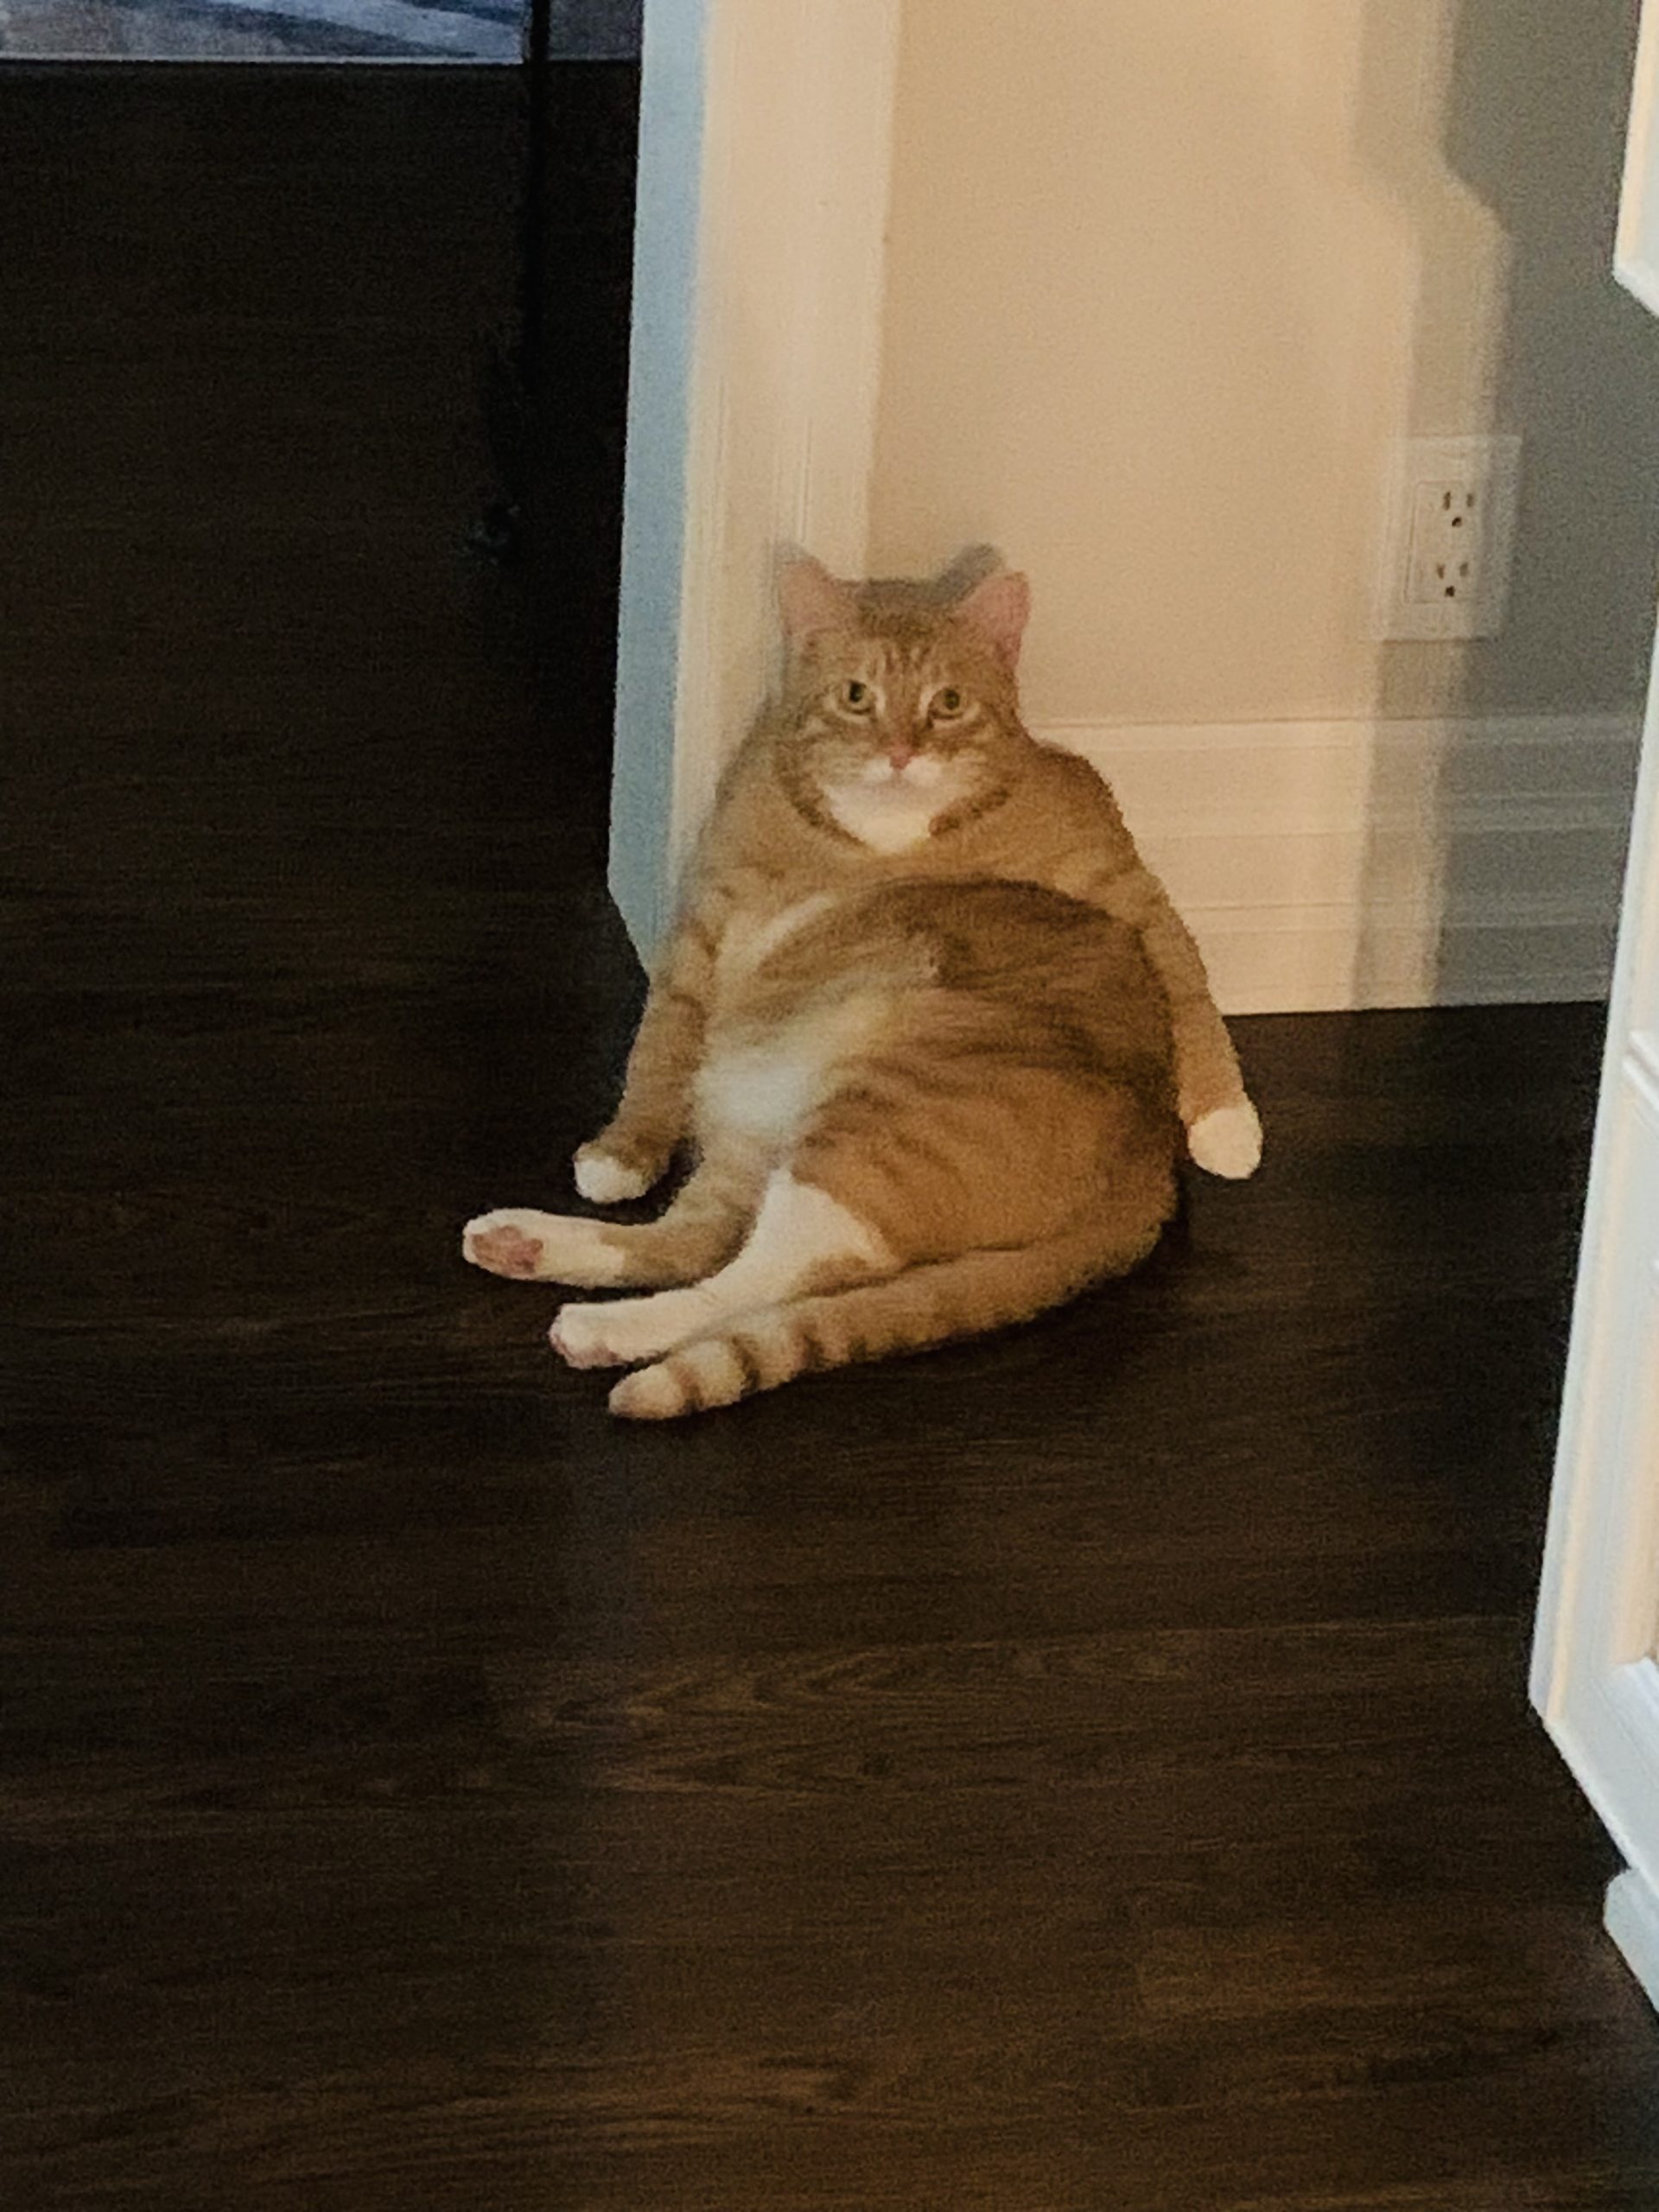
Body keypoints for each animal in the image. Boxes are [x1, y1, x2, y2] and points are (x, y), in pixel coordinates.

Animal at [463, 553, 1261, 1419]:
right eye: (856, 697)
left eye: (947, 704)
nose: (901, 752)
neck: (863, 848)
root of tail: (1149, 1170)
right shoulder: (710, 918)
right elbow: (665, 1034)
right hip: (759, 1127)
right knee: (695, 1241)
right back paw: (528, 1243)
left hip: (868, 1128)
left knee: (761, 1277)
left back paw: (605, 1329)